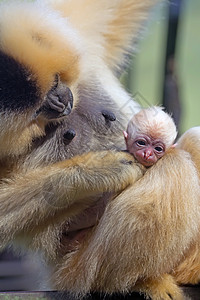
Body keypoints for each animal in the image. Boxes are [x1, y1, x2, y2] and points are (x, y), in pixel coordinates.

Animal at [0, 0, 199, 300]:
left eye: (56, 81)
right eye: (39, 108)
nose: (61, 102)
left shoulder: (72, 28)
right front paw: (99, 169)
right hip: (82, 269)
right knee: (174, 167)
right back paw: (146, 280)